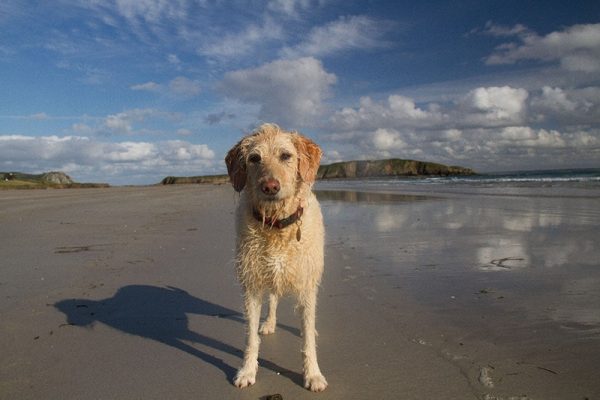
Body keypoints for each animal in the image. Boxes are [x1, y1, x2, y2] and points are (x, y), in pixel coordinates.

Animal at [225, 123, 328, 392]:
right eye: (254, 158)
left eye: (286, 155)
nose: (270, 186)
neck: (276, 225)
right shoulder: (251, 284)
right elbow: (250, 337)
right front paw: (247, 371)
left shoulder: (307, 284)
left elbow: (307, 339)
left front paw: (313, 374)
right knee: (272, 299)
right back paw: (269, 323)